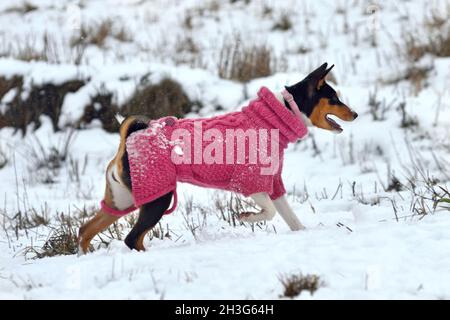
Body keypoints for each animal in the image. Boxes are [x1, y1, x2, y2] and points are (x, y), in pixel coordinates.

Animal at [78, 62, 358, 252]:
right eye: (334, 98)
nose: (355, 113)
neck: (275, 119)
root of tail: (129, 138)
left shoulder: (273, 183)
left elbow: (291, 219)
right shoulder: (249, 181)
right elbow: (268, 212)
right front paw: (247, 217)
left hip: (124, 200)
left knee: (86, 229)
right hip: (158, 197)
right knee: (131, 238)